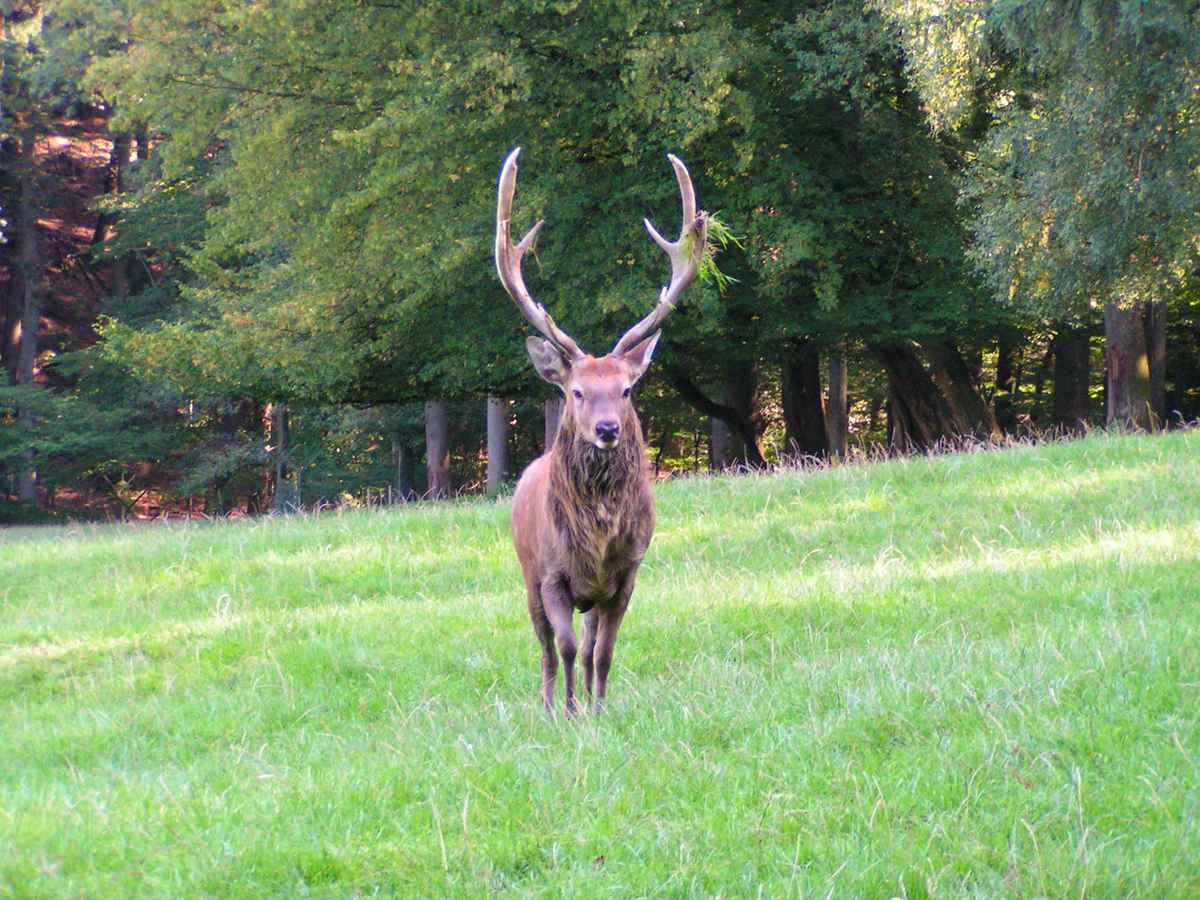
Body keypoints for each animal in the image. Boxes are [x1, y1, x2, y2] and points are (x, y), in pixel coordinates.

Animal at [495, 147, 708, 715]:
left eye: (627, 389)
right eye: (576, 391)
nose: (608, 428)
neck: (595, 537)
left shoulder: (627, 574)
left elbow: (603, 651)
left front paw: (599, 708)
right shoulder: (551, 574)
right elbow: (566, 647)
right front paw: (569, 710)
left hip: (590, 595)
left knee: (588, 643)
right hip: (525, 574)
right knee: (545, 647)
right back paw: (548, 703)